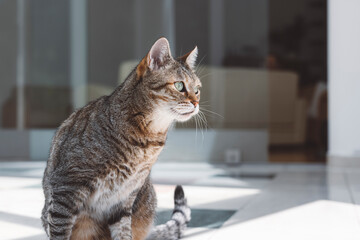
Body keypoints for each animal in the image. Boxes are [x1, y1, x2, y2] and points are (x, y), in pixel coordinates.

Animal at [41, 38, 201, 240]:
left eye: (197, 90)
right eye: (180, 86)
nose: (196, 103)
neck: (147, 138)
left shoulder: (124, 198)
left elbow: (123, 231)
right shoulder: (67, 187)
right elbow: (60, 231)